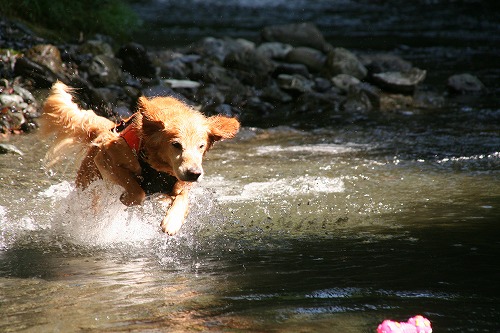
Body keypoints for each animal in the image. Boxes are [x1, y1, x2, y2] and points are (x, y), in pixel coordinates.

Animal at [41, 81, 240, 235]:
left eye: (201, 146)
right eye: (176, 144)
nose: (194, 173)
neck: (158, 163)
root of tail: (106, 129)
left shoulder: (179, 182)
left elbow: (183, 197)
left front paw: (172, 221)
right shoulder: (107, 158)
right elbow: (137, 190)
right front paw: (129, 198)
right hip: (89, 184)